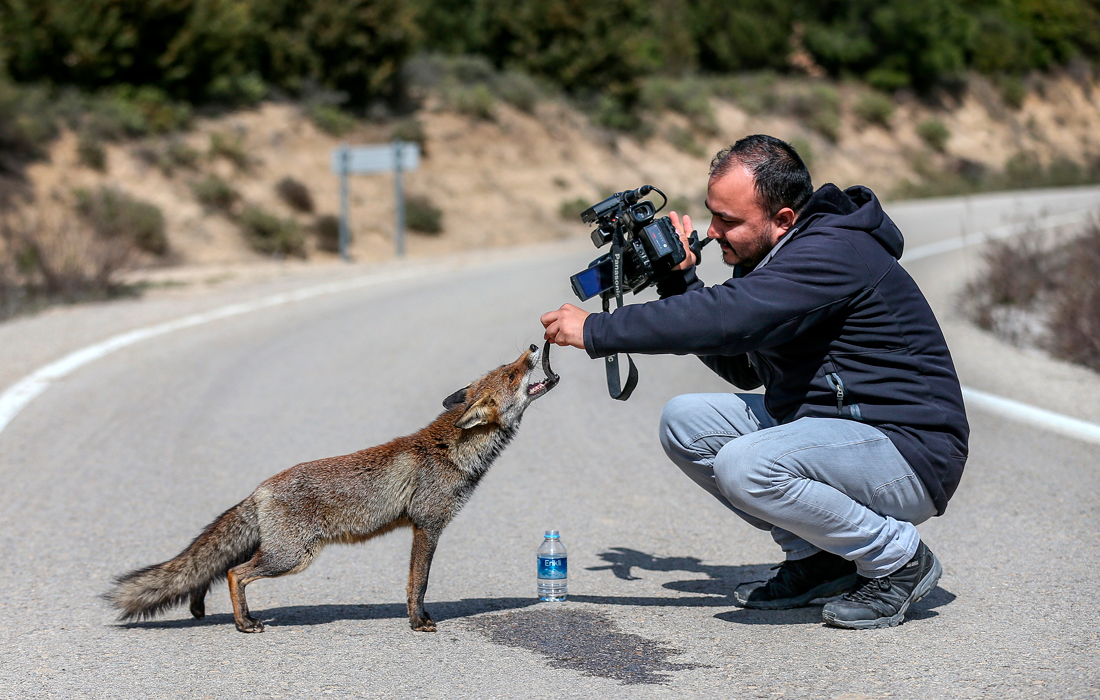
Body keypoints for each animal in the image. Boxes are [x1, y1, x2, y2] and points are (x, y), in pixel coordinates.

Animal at [105, 343, 559, 633]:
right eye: (514, 373)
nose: (534, 345)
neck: (450, 451)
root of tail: (259, 489)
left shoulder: (423, 527)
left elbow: (417, 582)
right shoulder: (427, 526)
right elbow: (419, 583)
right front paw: (418, 622)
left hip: (278, 552)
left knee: (218, 572)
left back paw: (215, 611)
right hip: (291, 557)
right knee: (234, 573)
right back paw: (243, 624)